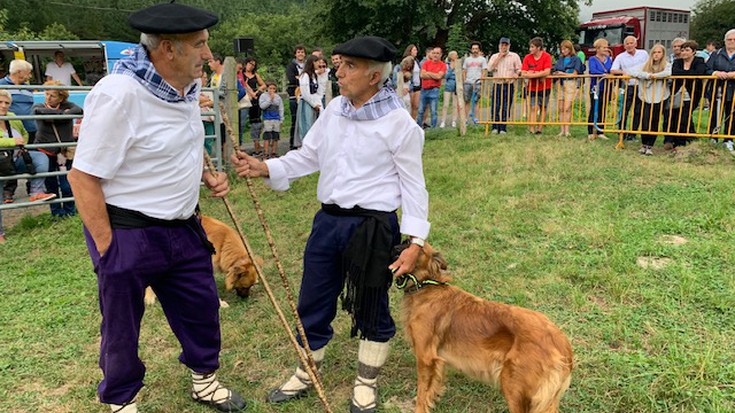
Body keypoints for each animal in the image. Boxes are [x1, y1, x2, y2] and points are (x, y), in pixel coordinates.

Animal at [396, 241, 576, 412]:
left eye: (414, 246)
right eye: (405, 240)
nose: (397, 245)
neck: (426, 286)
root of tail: (561, 342)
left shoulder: (425, 358)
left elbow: (422, 393)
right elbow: (431, 390)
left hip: (513, 385)